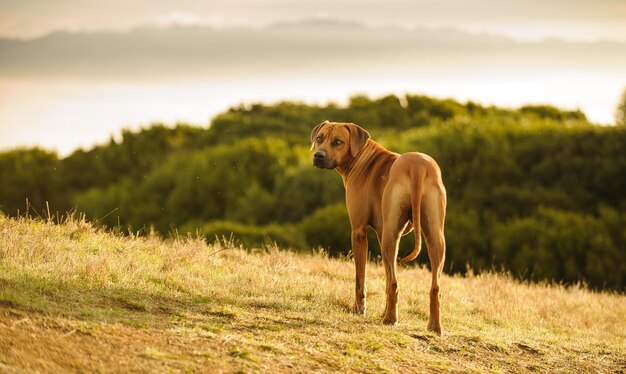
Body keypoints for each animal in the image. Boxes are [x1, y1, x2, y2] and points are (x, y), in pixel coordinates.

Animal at [310, 120, 446, 336]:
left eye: (338, 141)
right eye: (319, 138)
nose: (318, 155)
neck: (362, 158)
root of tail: (418, 166)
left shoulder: (358, 232)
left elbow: (361, 277)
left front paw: (359, 309)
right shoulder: (382, 234)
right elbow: (386, 277)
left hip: (391, 236)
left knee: (395, 282)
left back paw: (390, 319)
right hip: (434, 236)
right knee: (434, 286)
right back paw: (434, 327)